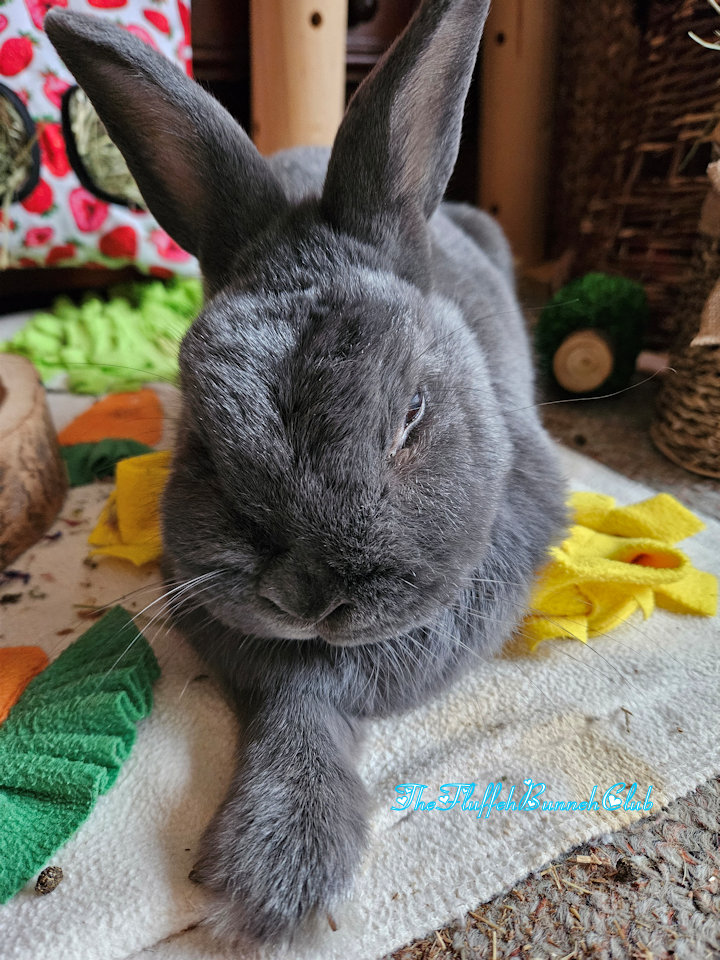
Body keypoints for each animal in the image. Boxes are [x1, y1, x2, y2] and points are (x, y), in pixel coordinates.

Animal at [46, 0, 567, 945]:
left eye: (412, 414)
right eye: (204, 442)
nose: (309, 595)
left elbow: (325, 690)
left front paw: (276, 876)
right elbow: (296, 697)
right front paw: (275, 868)